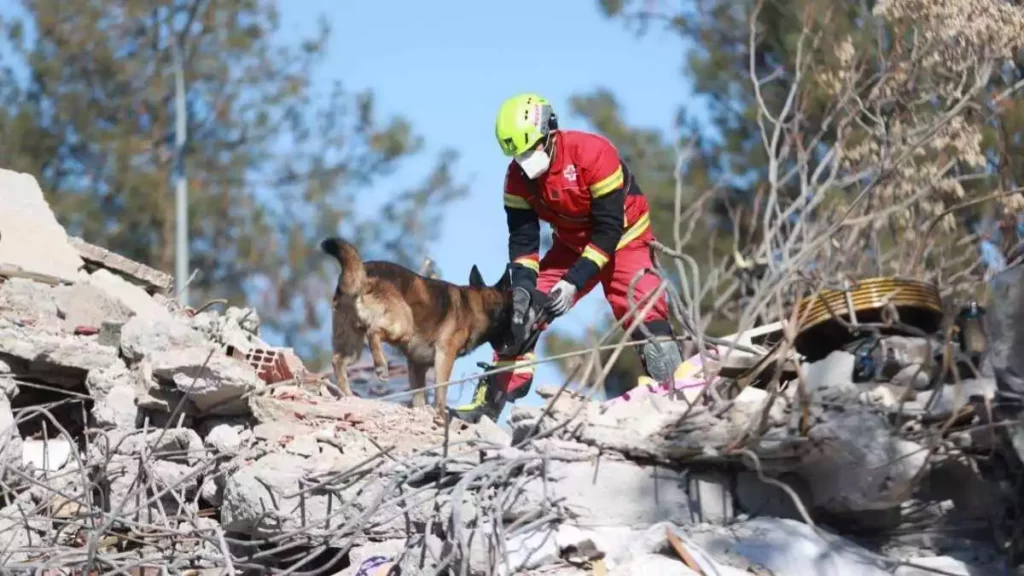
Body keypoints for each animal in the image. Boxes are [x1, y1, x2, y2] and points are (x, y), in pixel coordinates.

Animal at [319, 235, 512, 414]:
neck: (478, 305)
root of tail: (364, 273)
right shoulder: (445, 355)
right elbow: (441, 392)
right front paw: (441, 415)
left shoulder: (417, 365)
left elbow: (419, 397)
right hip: (403, 326)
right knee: (374, 332)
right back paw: (381, 366)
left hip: (353, 346)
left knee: (338, 360)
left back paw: (347, 395)